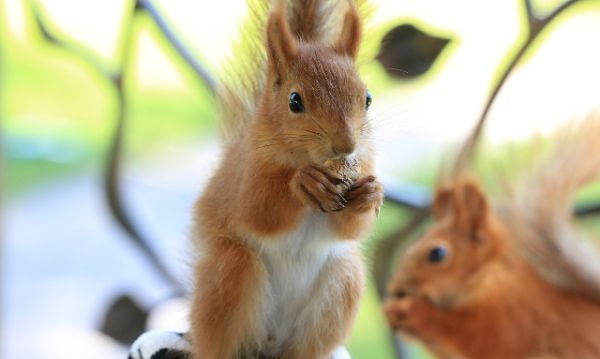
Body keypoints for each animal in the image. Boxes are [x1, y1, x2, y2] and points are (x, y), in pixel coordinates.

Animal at [190, 0, 382, 359]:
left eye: (367, 98)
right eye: (295, 101)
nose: (346, 146)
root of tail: (269, 343)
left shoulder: (364, 162)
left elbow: (350, 229)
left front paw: (372, 193)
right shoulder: (244, 173)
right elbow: (258, 211)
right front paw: (303, 184)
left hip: (343, 282)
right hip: (231, 272)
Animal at [382, 116, 600, 358]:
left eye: (437, 253)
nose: (396, 292)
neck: (486, 276)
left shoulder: (513, 311)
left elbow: (484, 337)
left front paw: (415, 312)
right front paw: (393, 314)